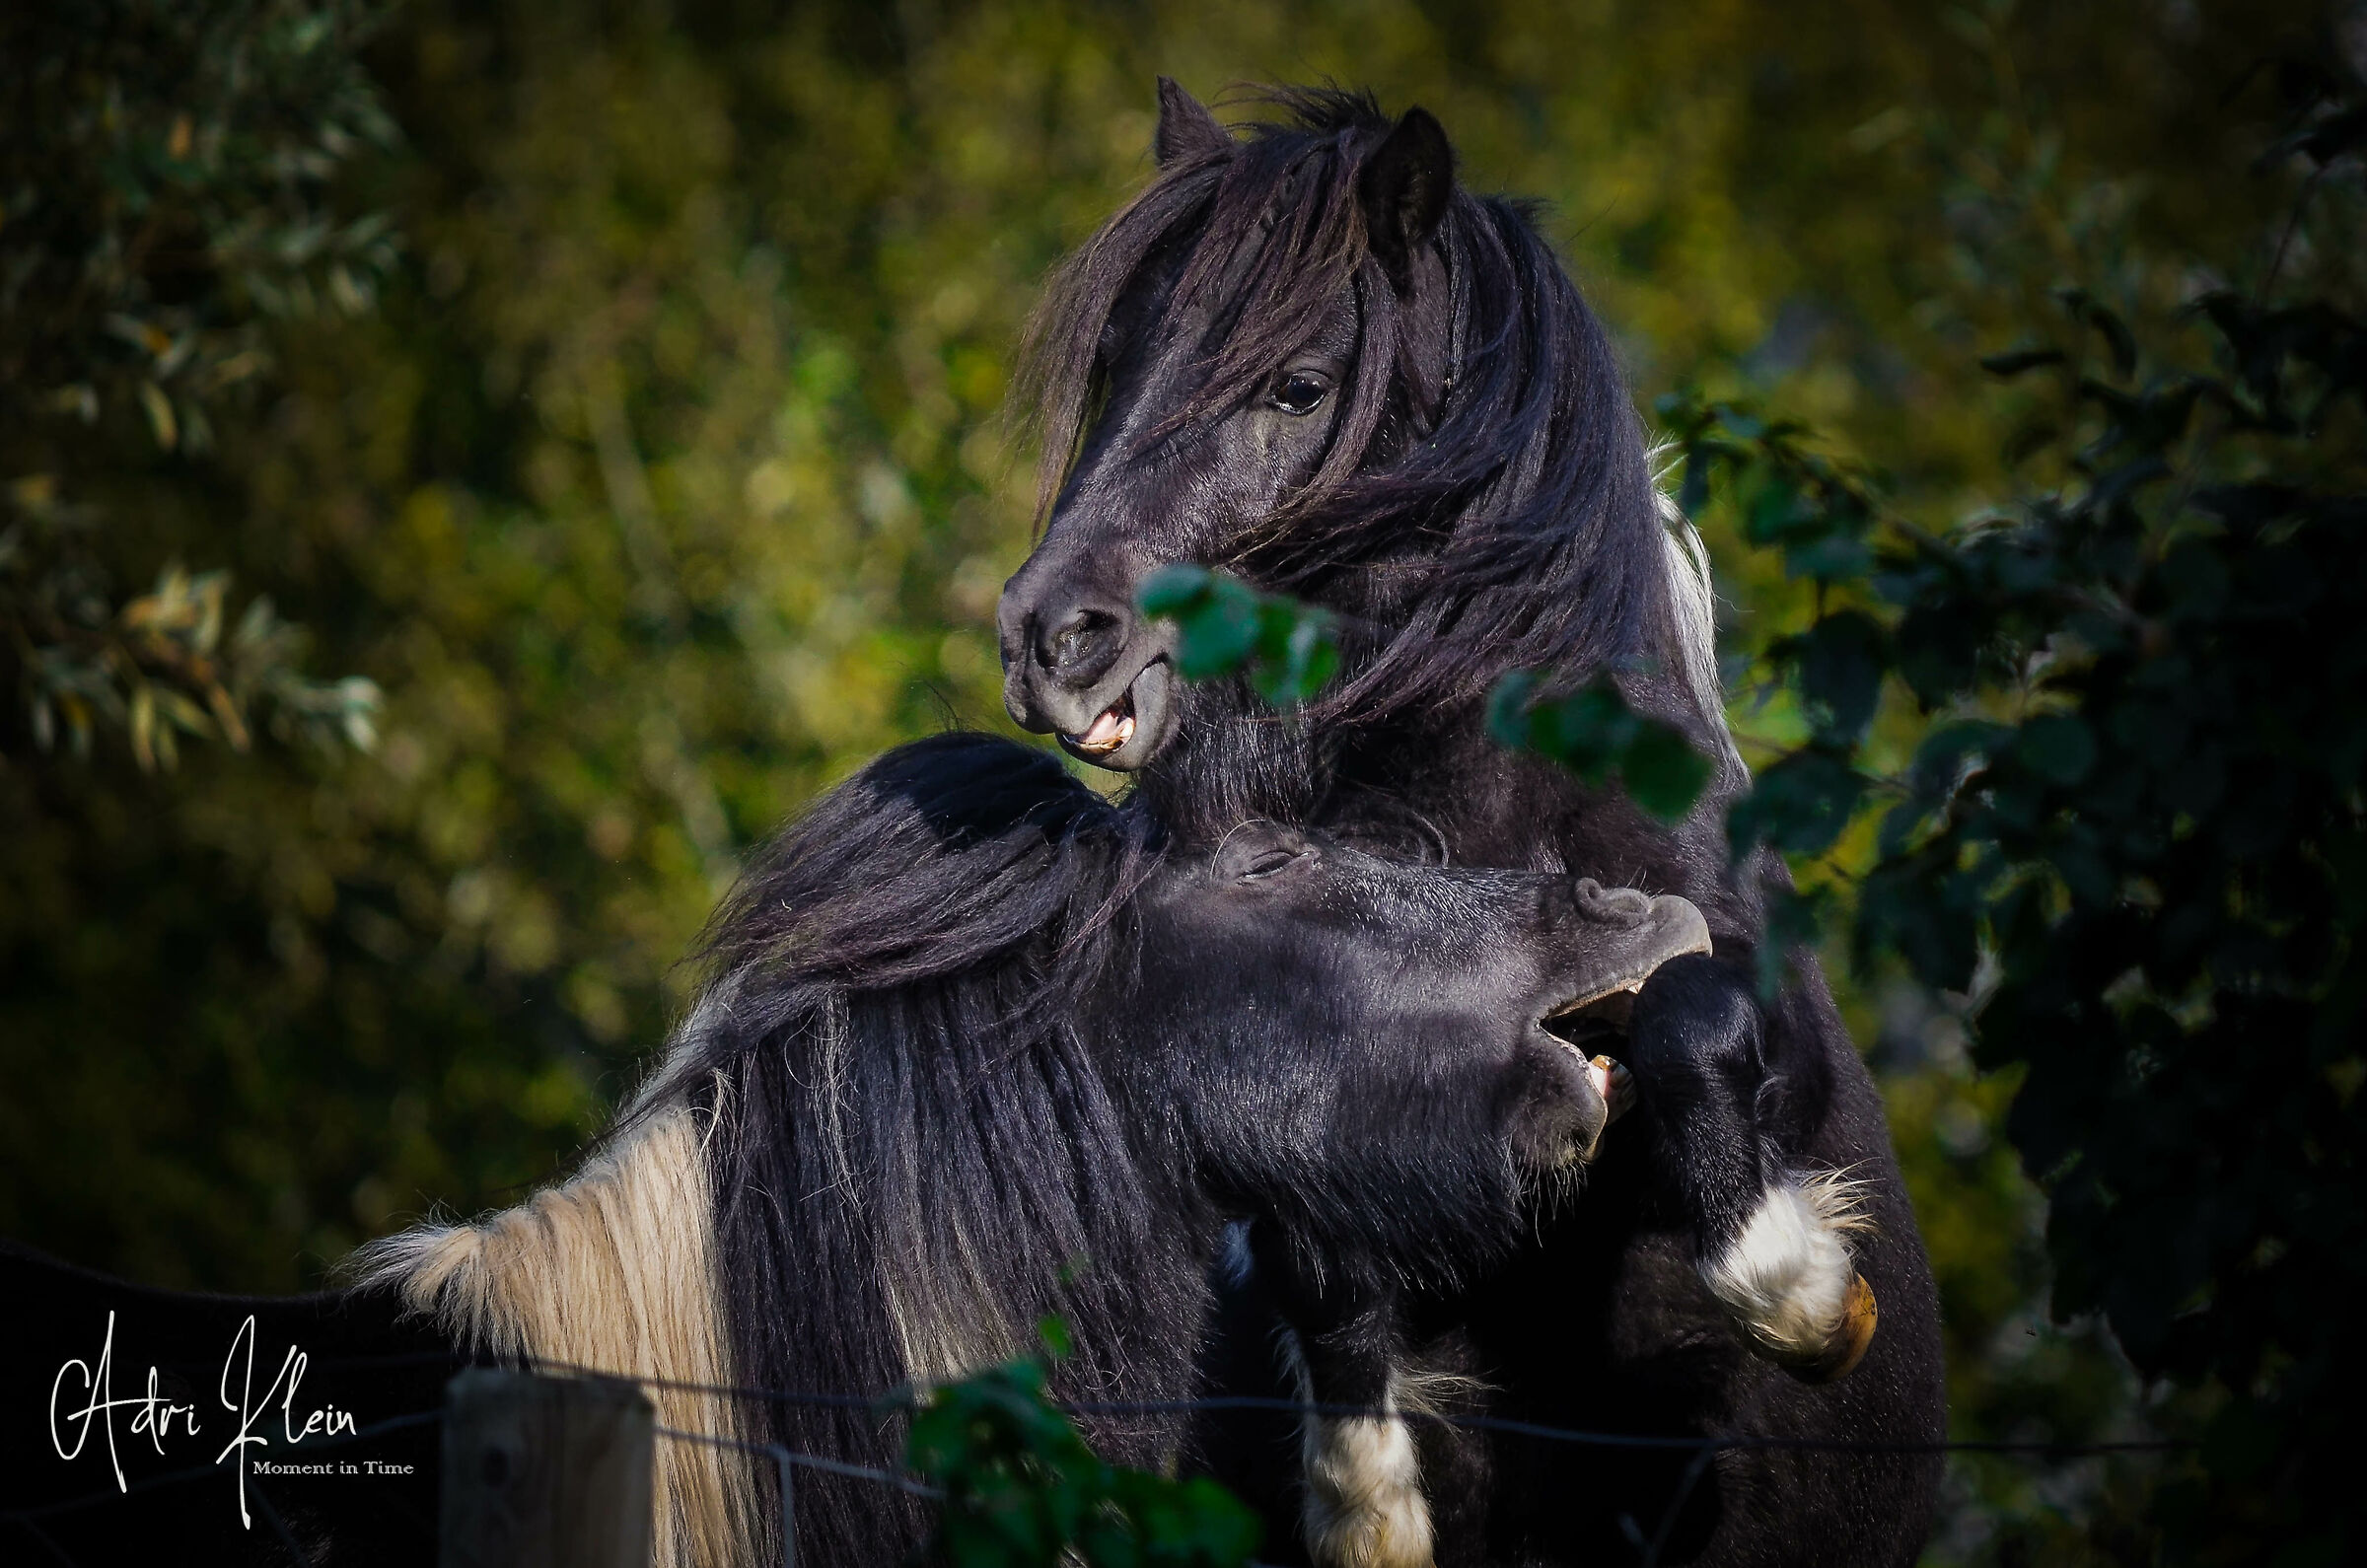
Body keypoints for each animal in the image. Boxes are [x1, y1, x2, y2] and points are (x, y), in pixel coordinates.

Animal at [995, 83, 1946, 1566]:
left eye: (1298, 387)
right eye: (1118, 370)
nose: (1051, 642)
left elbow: (1690, 1021)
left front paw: (1802, 1295)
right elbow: (1303, 1211)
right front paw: (1369, 1498)